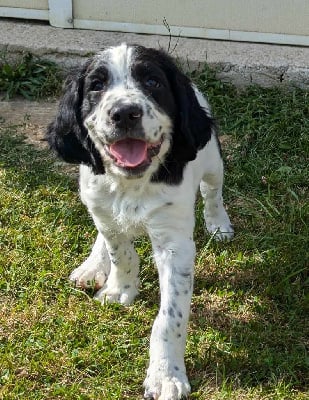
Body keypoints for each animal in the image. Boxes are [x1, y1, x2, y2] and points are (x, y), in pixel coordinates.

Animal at [47, 43, 232, 400]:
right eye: (96, 85)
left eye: (152, 82)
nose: (124, 113)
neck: (132, 183)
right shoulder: (105, 211)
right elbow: (121, 253)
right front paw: (119, 289)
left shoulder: (175, 244)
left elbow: (169, 317)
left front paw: (166, 376)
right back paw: (92, 266)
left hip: (212, 162)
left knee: (212, 191)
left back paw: (219, 224)